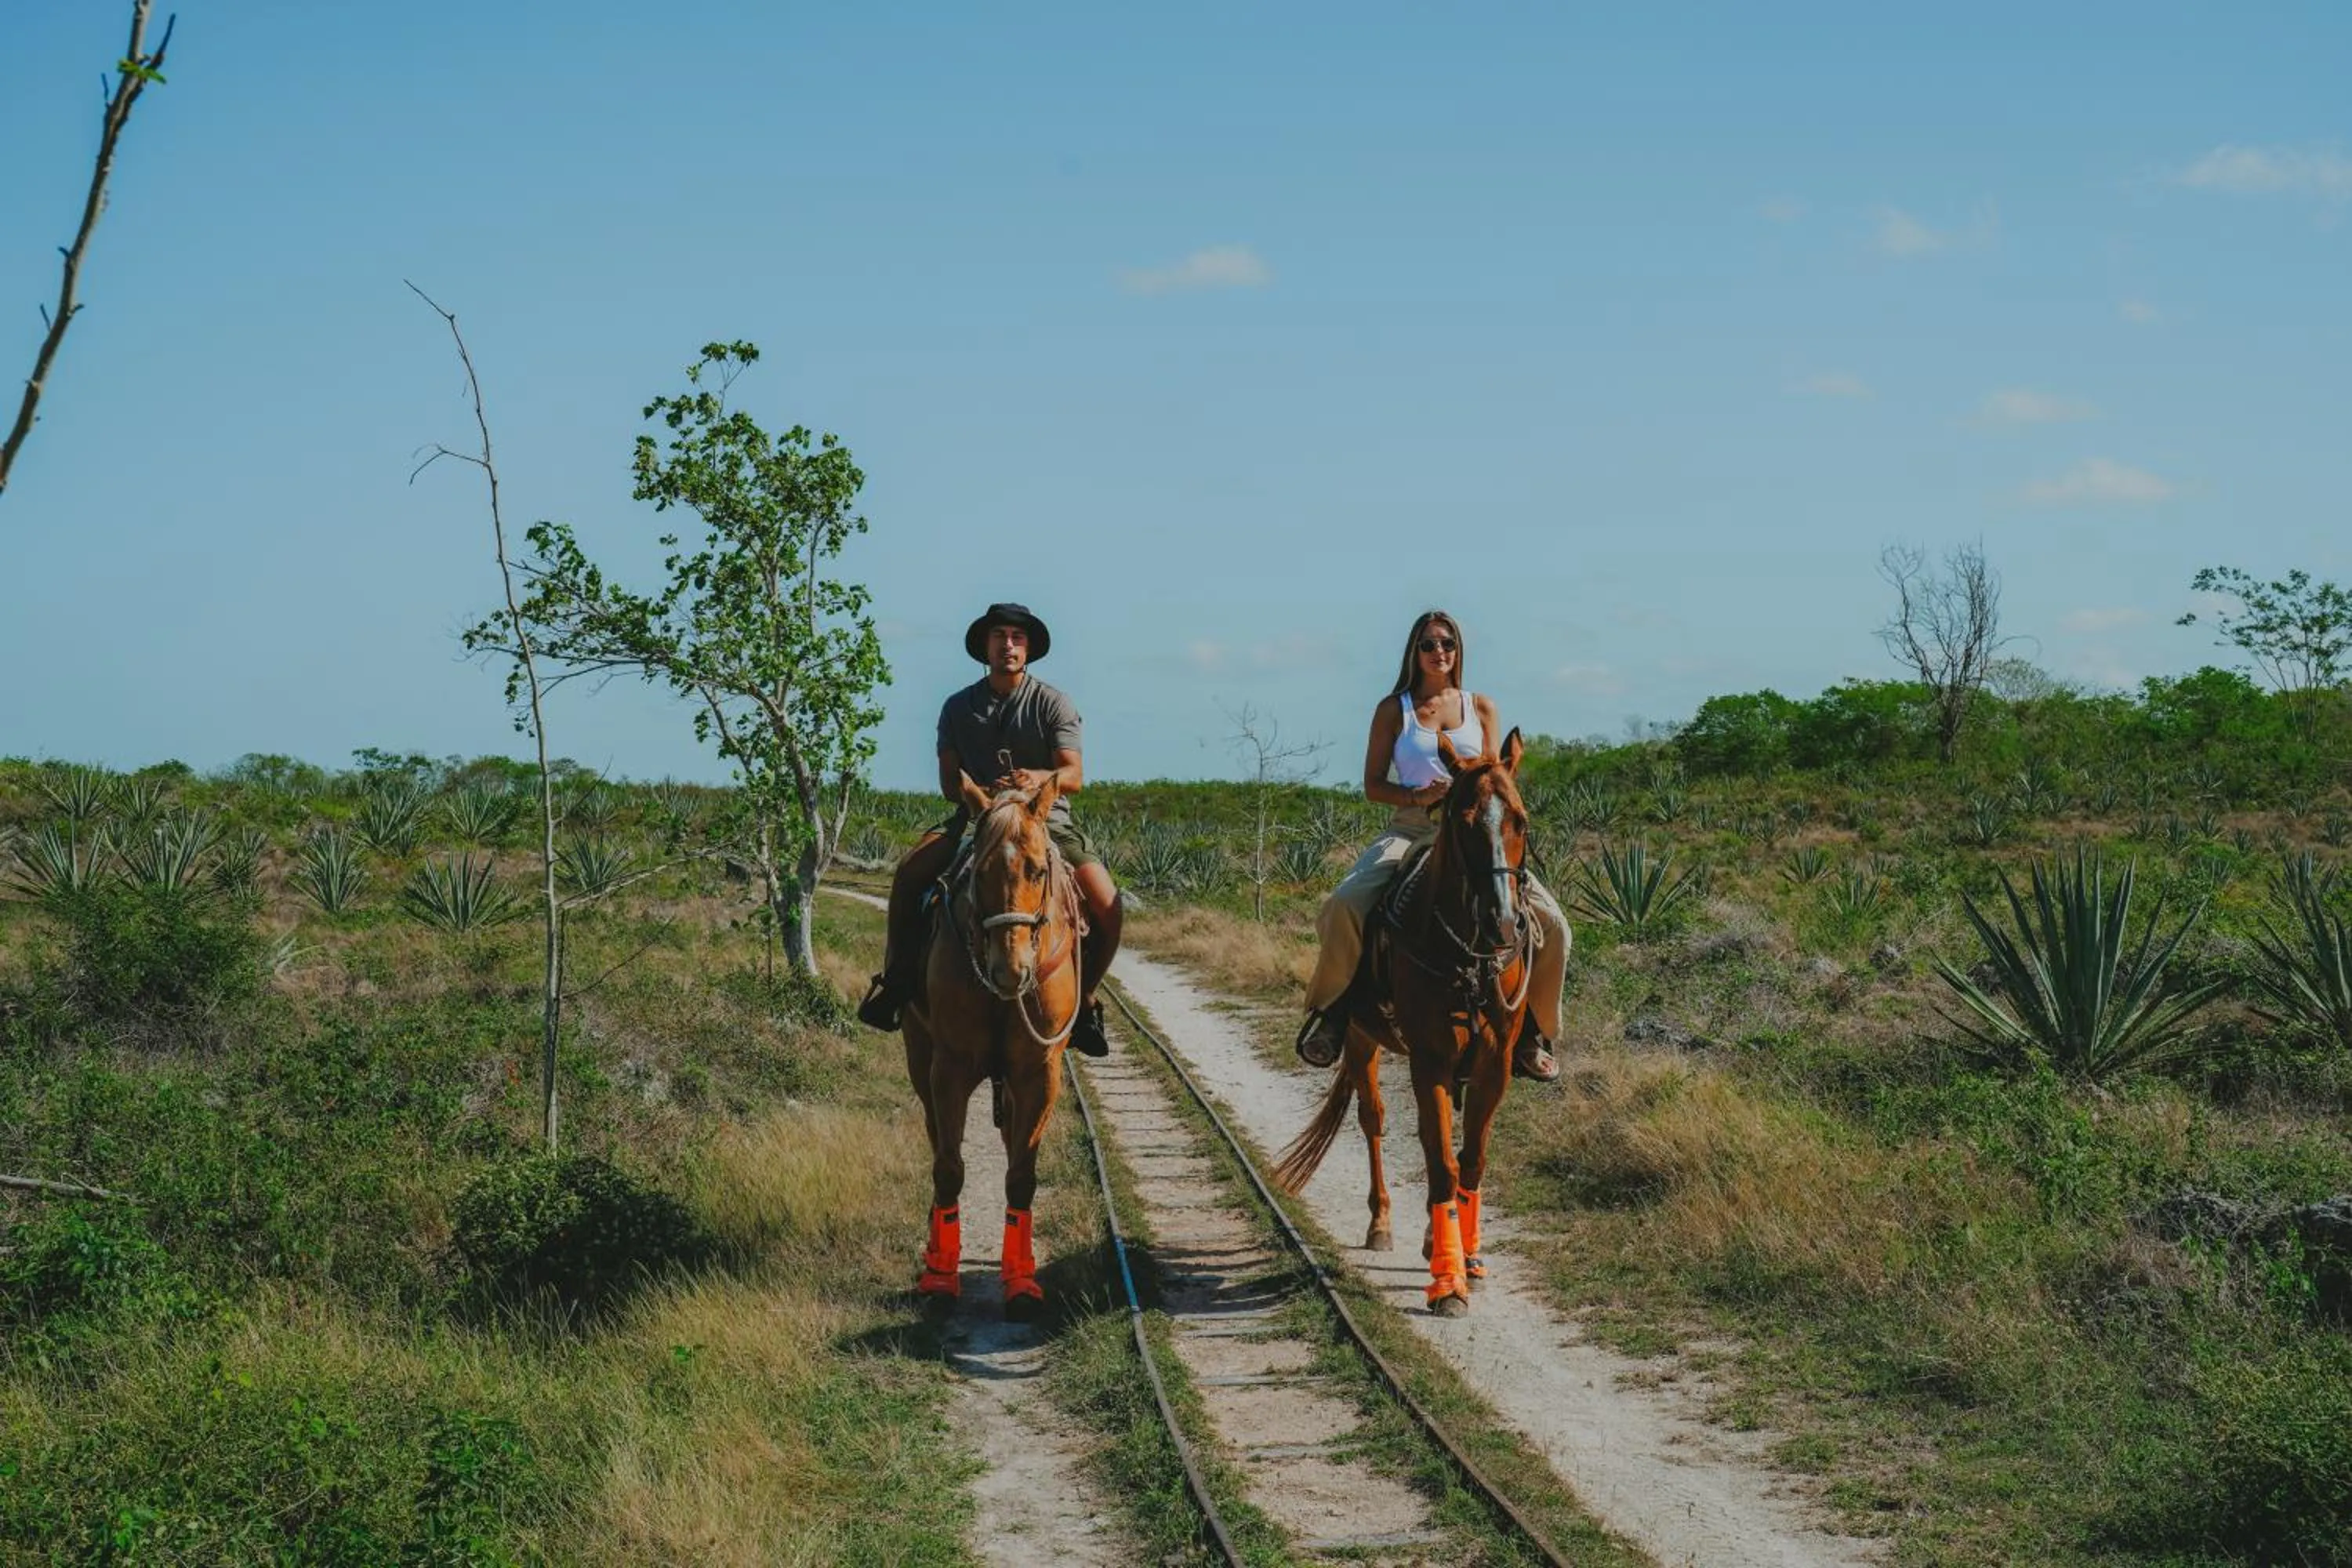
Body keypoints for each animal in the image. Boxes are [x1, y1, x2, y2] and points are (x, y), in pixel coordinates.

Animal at [901, 772, 1085, 1321]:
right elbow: (948, 1168)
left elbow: (1021, 1174)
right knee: (936, 1138)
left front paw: (1021, 1281)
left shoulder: (1038, 1073)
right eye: (978, 873)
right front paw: (941, 1277)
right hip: (919, 1058)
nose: (1011, 970)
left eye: (1039, 870)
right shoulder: (949, 1069)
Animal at [1272, 728, 1536, 1317]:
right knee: (1373, 1119)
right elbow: (1441, 1163)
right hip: (1360, 1038)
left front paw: (1469, 1259)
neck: (1466, 951)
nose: (1503, 923)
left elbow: (1470, 1160)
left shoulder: (1495, 1062)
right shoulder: (1430, 1059)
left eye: (1520, 820)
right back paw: (1383, 1224)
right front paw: (1448, 1284)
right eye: (1462, 820)